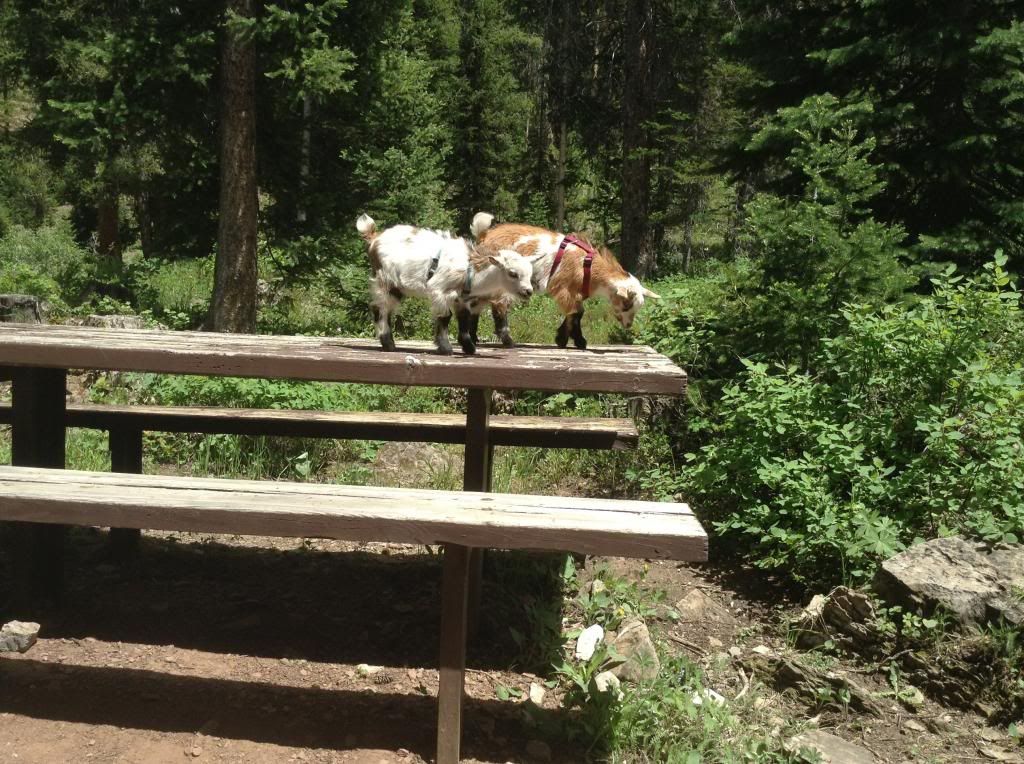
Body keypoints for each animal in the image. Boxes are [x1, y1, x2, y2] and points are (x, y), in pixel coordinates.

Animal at [357, 213, 538, 355]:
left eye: (530, 273)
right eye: (512, 273)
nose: (528, 291)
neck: (469, 269)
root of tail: (374, 237)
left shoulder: (461, 299)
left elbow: (464, 320)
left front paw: (469, 348)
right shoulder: (439, 290)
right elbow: (445, 317)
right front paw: (445, 347)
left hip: (395, 287)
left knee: (386, 309)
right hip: (385, 280)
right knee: (379, 308)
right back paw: (388, 343)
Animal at [469, 215, 661, 350]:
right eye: (627, 305)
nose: (628, 325)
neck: (587, 265)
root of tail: (483, 236)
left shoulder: (576, 293)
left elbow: (575, 313)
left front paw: (564, 338)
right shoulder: (565, 289)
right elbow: (576, 313)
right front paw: (576, 341)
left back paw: (474, 338)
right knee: (498, 305)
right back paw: (506, 340)